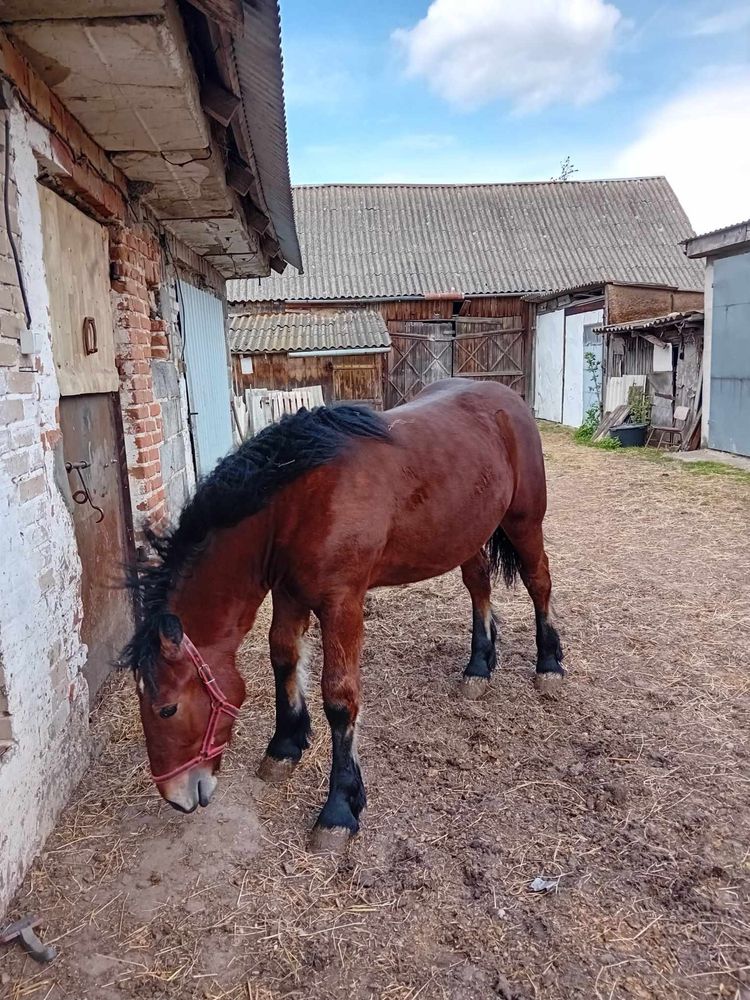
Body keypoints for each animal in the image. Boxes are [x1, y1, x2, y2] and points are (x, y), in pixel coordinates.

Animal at [123, 378, 564, 848]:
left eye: (167, 708)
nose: (176, 796)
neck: (297, 504)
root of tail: (506, 397)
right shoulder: (289, 594)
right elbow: (284, 659)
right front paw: (285, 746)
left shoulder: (343, 604)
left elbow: (339, 697)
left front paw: (339, 808)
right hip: (467, 533)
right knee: (479, 585)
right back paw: (479, 667)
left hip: (524, 521)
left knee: (539, 582)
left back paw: (549, 664)